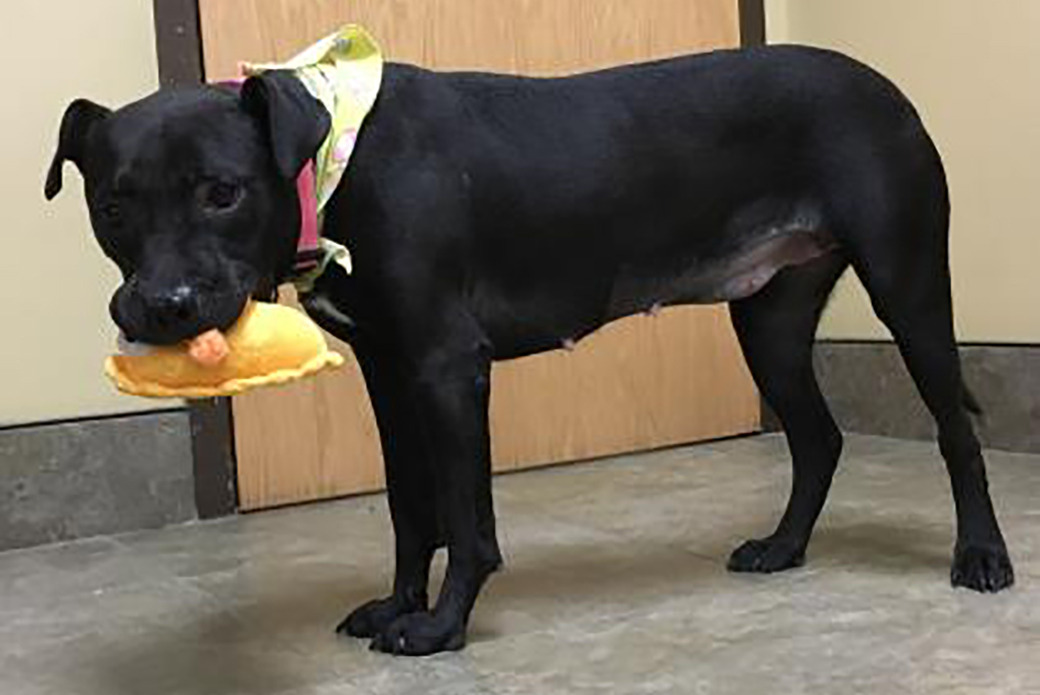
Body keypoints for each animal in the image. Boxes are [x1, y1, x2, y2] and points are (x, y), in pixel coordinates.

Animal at [44, 46, 1010, 653]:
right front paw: (398, 601)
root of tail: (884, 86)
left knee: (956, 433)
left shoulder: (446, 369)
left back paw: (982, 556)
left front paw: (440, 627)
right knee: (818, 438)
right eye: (113, 206)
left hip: (909, 286)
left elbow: (466, 519)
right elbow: (409, 509)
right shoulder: (390, 376)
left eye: (222, 192)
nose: (162, 305)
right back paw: (783, 546)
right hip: (768, 322)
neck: (335, 156)